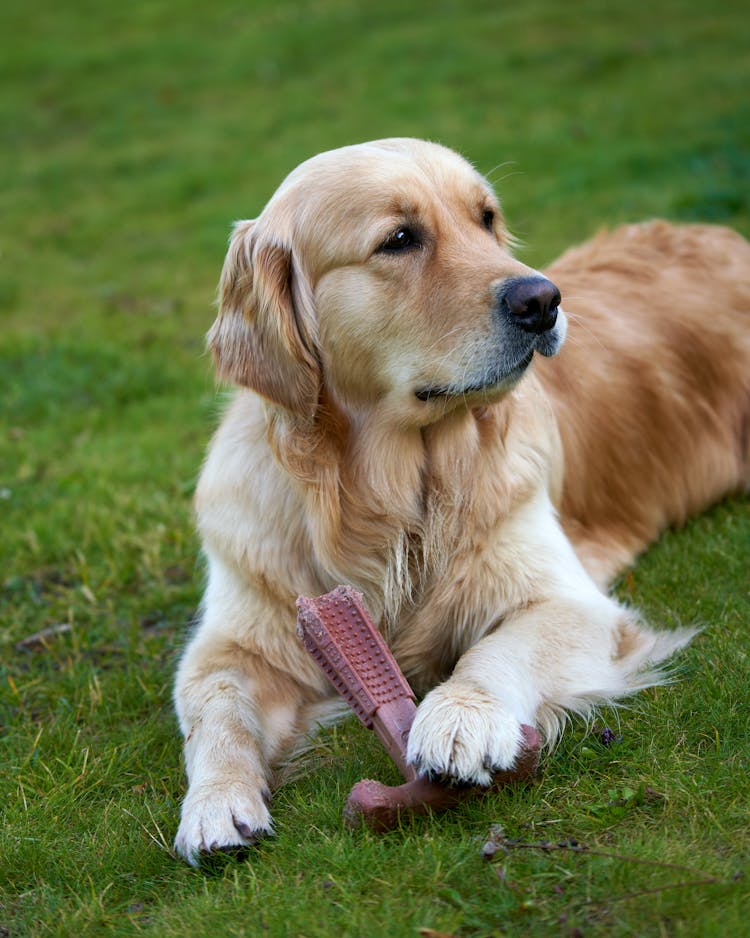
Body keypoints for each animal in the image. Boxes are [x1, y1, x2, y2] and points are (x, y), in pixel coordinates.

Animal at [172, 135, 750, 860]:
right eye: (398, 239)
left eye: (487, 219)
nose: (542, 299)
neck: (389, 492)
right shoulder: (236, 634)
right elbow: (214, 705)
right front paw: (214, 802)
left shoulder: (571, 602)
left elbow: (497, 649)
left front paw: (459, 717)